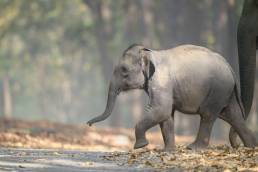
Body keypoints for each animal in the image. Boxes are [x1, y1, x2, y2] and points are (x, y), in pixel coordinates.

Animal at [87, 44, 256, 150]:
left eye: (124, 70)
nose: (88, 124)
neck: (149, 53)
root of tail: (230, 68)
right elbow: (166, 115)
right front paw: (167, 151)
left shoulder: (161, 81)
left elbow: (161, 110)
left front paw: (141, 146)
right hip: (226, 91)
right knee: (233, 116)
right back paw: (251, 147)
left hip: (218, 89)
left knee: (208, 114)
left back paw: (193, 148)